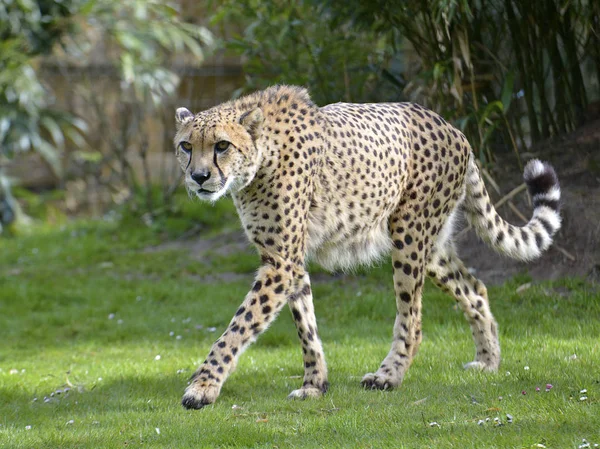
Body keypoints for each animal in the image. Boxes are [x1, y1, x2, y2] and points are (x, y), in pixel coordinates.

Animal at [173, 85, 564, 410]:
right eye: (186, 146)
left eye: (222, 145)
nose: (198, 177)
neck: (260, 158)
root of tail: (453, 127)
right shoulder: (289, 260)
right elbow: (305, 324)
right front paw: (315, 384)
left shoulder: (280, 263)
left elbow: (238, 326)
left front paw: (203, 387)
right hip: (433, 246)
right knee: (475, 288)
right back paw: (487, 361)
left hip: (409, 235)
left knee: (413, 319)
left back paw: (388, 376)